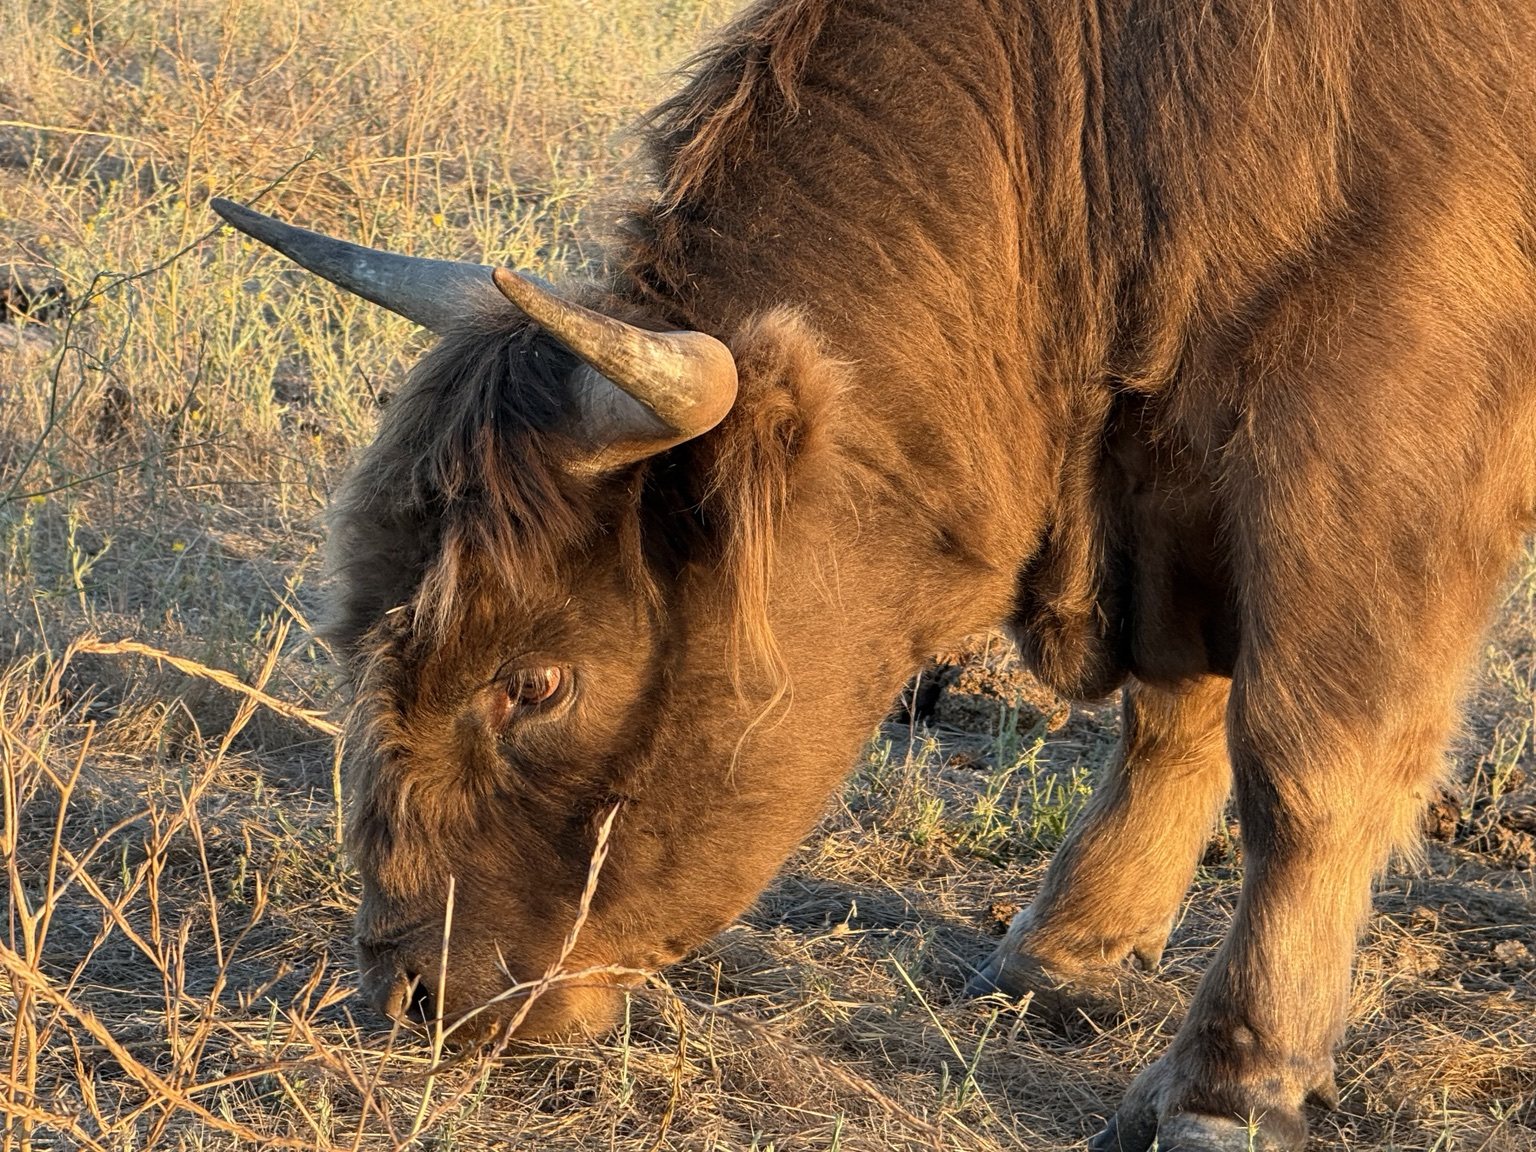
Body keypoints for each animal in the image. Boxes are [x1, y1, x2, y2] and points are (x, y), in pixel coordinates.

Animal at [211, 0, 1536, 1147]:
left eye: (535, 683)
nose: (409, 995)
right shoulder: (1176, 483)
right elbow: (1178, 713)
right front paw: (1063, 953)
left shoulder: (1368, 456)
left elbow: (1309, 764)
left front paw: (1230, 1088)